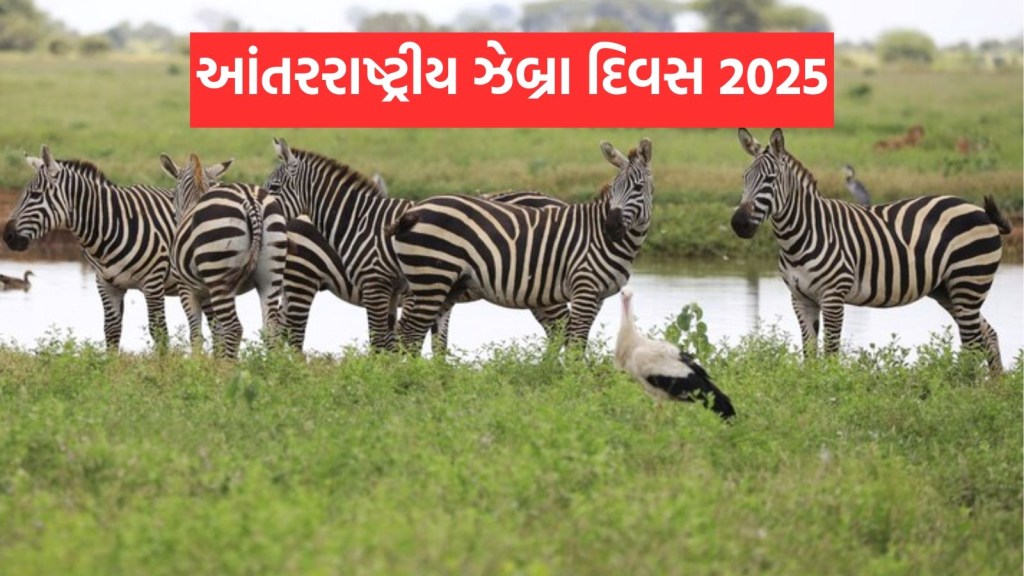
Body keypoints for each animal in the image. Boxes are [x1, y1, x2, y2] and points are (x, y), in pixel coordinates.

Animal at [2, 145, 203, 351]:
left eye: (35, 195)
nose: (7, 236)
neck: (113, 226)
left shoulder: (153, 283)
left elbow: (159, 331)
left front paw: (164, 361)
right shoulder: (106, 284)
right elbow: (111, 331)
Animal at [161, 153, 288, 358]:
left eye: (172, 197)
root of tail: (250, 200)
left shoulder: (187, 288)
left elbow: (196, 334)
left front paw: (199, 363)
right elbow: (216, 333)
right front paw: (215, 360)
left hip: (219, 275)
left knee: (234, 328)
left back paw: (228, 367)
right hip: (271, 275)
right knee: (270, 328)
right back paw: (273, 365)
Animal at [263, 140, 572, 354]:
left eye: (274, 188)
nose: (261, 207)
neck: (359, 219)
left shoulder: (387, 285)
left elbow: (393, 341)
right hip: (301, 279)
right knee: (282, 330)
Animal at [389, 137, 653, 353]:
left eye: (638, 188)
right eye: (613, 187)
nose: (611, 227)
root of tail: (412, 212)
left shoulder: (595, 295)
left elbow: (577, 343)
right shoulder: (585, 289)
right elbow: (576, 344)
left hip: (446, 284)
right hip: (432, 279)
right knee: (410, 333)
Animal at [731, 128, 1011, 373]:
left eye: (770, 179)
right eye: (744, 177)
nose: (738, 223)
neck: (799, 237)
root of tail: (980, 211)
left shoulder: (833, 296)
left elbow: (831, 353)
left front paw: (829, 388)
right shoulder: (800, 298)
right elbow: (809, 354)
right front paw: (809, 387)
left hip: (968, 282)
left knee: (973, 342)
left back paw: (964, 386)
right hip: (949, 291)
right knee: (988, 335)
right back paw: (992, 387)